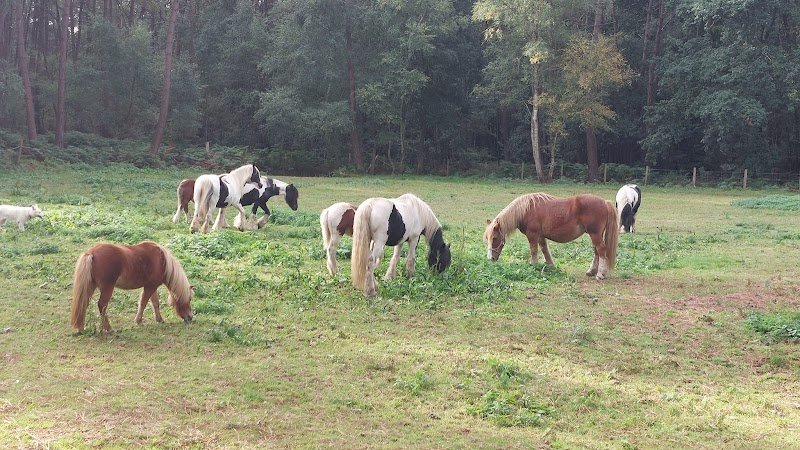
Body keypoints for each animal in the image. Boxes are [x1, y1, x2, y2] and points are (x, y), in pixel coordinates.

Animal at [484, 193, 619, 280]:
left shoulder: (532, 235)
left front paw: (533, 265)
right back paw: (592, 271)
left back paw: (600, 274)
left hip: (595, 234)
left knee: (601, 250)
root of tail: (604, 202)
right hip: (595, 235)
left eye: (494, 238)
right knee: (597, 252)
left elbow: (534, 251)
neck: (526, 210)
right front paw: (550, 266)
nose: (491, 258)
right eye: (487, 239)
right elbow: (545, 250)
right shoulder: (540, 236)